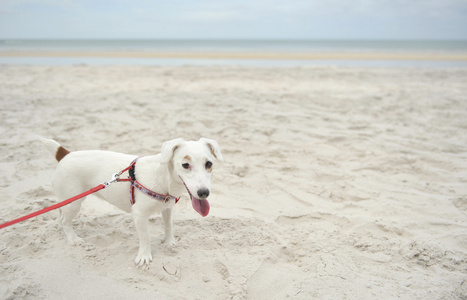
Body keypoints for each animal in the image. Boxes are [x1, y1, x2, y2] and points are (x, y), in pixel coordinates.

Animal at [41, 138, 224, 268]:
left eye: (209, 164)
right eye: (185, 165)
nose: (203, 193)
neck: (164, 178)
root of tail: (65, 154)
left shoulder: (167, 208)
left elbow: (168, 226)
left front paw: (169, 242)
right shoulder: (139, 215)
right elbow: (146, 237)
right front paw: (144, 256)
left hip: (67, 200)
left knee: (60, 217)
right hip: (74, 203)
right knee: (65, 221)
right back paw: (73, 239)